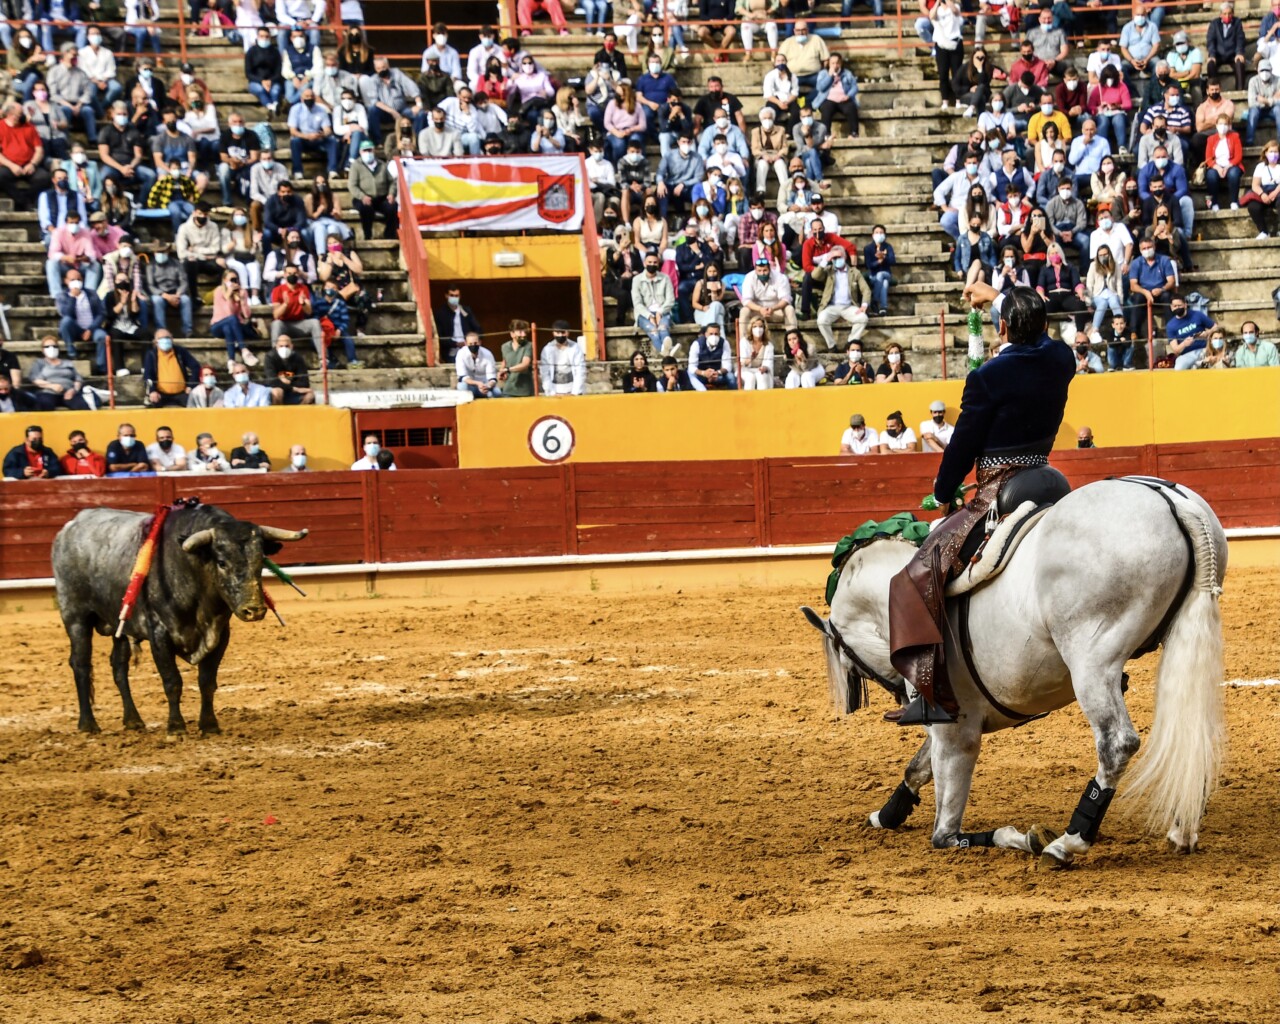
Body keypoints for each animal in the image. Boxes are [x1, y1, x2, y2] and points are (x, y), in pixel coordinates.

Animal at [50, 504, 312, 737]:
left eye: (260, 563)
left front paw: (209, 726)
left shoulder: (220, 634)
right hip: (76, 617)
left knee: (119, 666)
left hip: (118, 626)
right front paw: (176, 728)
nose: (254, 610)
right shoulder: (159, 634)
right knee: (81, 664)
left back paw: (133, 720)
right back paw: (88, 724)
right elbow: (172, 681)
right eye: (222, 562)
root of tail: (70, 527)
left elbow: (207, 682)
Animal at [803, 478, 1223, 865]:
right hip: (1184, 639)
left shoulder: (956, 732)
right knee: (1192, 726)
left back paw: (1068, 841)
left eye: (845, 657)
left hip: (1093, 665)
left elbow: (946, 833)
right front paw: (887, 814)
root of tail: (1171, 499)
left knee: (1117, 744)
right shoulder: (949, 722)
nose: (900, 700)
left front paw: (1024, 837)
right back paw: (1182, 828)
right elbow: (916, 769)